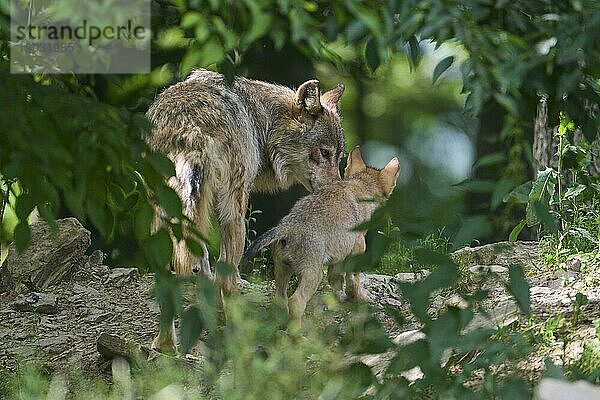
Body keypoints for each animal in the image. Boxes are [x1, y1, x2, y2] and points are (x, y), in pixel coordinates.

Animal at [146, 69, 346, 354]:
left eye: (339, 156)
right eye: (324, 153)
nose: (337, 190)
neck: (262, 121)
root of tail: (189, 126)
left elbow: (203, 269)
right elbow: (219, 276)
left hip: (161, 220)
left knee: (170, 279)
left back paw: (165, 346)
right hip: (236, 218)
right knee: (227, 280)